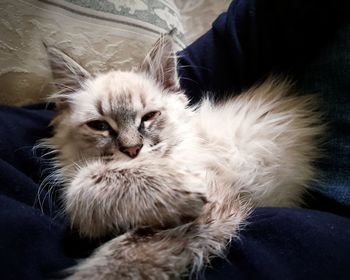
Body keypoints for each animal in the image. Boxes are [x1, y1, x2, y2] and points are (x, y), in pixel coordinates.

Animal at [43, 33, 326, 280]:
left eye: (149, 117)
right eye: (100, 126)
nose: (132, 150)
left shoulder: (215, 197)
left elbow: (125, 250)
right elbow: (89, 183)